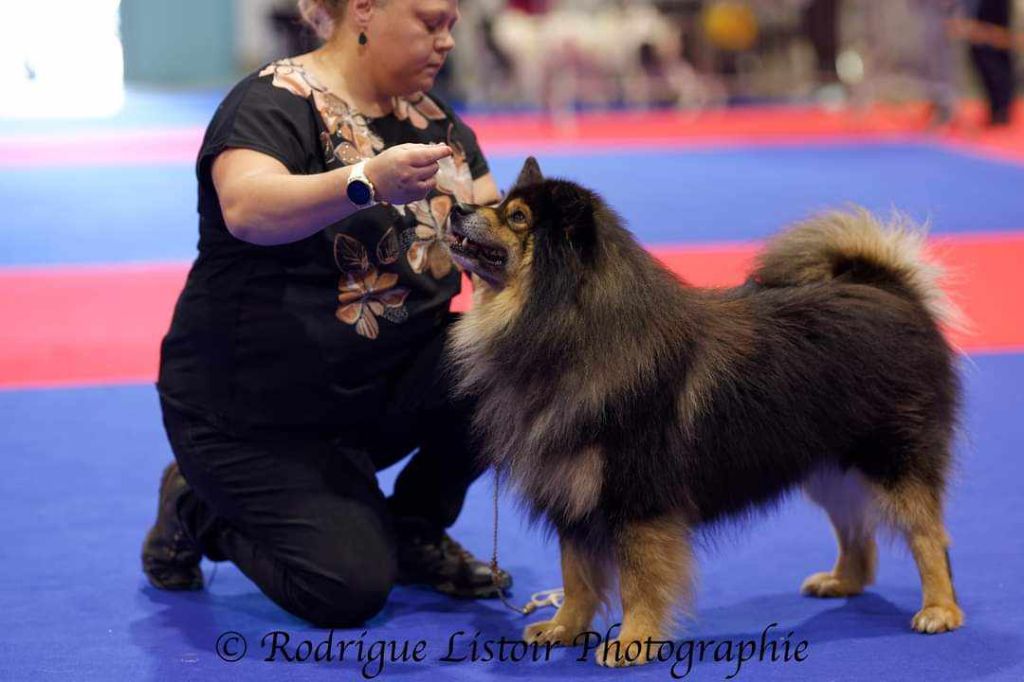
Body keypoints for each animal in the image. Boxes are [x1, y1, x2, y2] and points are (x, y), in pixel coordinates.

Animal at [444, 157, 962, 663]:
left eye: (516, 217)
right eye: (499, 203)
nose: (455, 208)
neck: (568, 328)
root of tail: (892, 291)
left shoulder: (636, 498)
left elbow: (637, 580)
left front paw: (633, 641)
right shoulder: (570, 492)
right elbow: (576, 575)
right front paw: (563, 628)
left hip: (892, 461)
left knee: (928, 536)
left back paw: (939, 610)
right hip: (827, 467)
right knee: (856, 529)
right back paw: (843, 581)